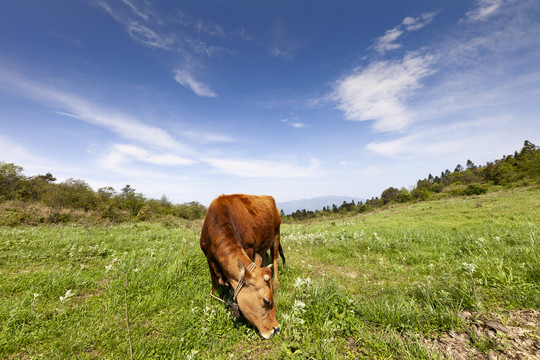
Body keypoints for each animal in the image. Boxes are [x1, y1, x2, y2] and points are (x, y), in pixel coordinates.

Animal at [198, 194, 282, 338]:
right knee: (265, 256)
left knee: (275, 259)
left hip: (276, 234)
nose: (275, 329)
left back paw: (276, 283)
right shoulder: (208, 257)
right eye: (266, 301)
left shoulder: (248, 248)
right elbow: (214, 283)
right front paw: (212, 302)